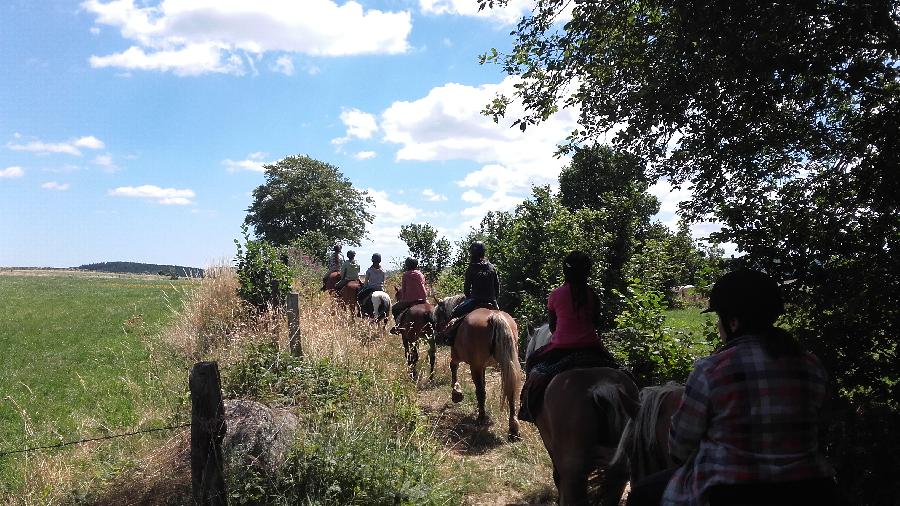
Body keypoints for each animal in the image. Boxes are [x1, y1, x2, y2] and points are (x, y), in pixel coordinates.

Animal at [432, 294, 524, 440]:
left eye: (438, 316)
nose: (436, 337)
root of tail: (494, 317)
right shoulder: (483, 366)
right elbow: (484, 385)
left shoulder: (458, 356)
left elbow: (453, 367)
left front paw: (457, 393)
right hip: (508, 365)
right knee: (510, 391)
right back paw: (513, 429)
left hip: (474, 366)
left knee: (480, 391)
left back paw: (481, 417)